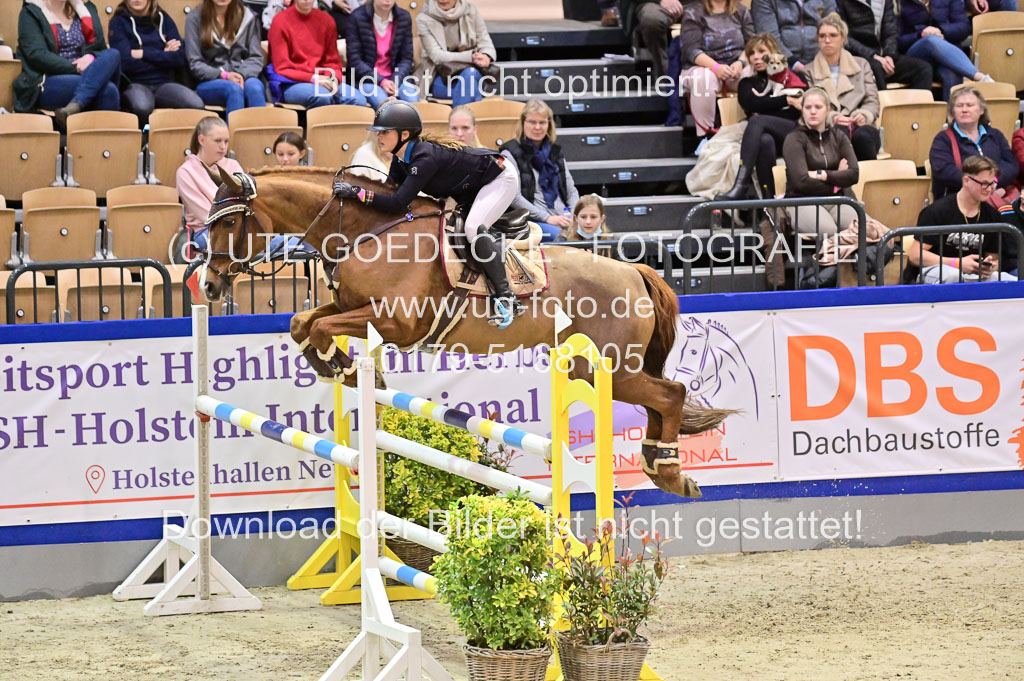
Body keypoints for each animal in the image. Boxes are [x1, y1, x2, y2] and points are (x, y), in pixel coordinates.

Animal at [196, 166, 735, 498]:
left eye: (229, 225)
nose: (208, 284)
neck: (365, 232)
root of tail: (635, 272)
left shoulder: (396, 321)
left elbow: (322, 325)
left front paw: (349, 369)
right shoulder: (356, 308)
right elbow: (303, 322)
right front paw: (340, 368)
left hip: (608, 369)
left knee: (670, 394)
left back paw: (670, 474)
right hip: (600, 366)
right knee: (661, 398)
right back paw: (659, 465)